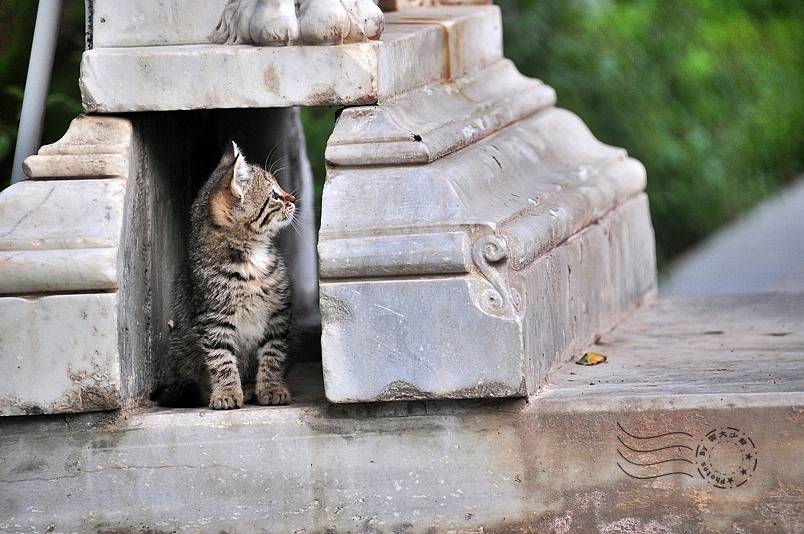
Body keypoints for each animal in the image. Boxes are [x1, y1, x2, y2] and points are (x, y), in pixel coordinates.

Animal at [157, 141, 296, 410]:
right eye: (274, 195)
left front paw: (272, 388)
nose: (293, 199)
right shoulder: (213, 318)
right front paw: (227, 393)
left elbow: (273, 353)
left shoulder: (278, 313)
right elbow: (221, 359)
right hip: (179, 346)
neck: (252, 259)